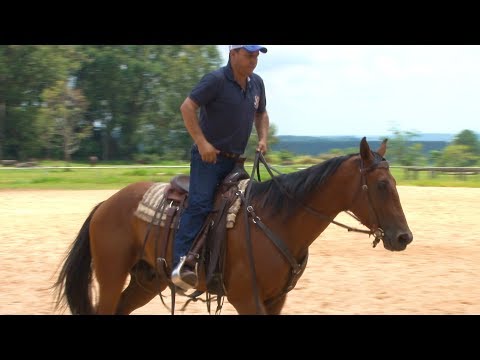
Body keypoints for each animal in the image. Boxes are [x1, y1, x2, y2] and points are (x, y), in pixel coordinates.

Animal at [52, 138, 412, 316]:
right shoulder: (246, 298)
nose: (403, 237)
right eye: (381, 185)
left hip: (147, 279)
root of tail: (105, 204)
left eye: (395, 182)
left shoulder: (275, 300)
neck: (276, 221)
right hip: (111, 275)